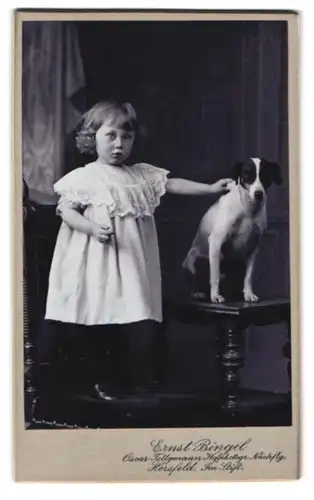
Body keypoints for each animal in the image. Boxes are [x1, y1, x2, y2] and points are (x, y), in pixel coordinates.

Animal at [182, 158, 282, 302]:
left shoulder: (253, 248)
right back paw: (199, 292)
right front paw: (215, 295)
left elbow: (248, 276)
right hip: (193, 258)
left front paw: (249, 293)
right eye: (247, 174)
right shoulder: (216, 241)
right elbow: (214, 275)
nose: (258, 194)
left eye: (265, 175)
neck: (248, 210)